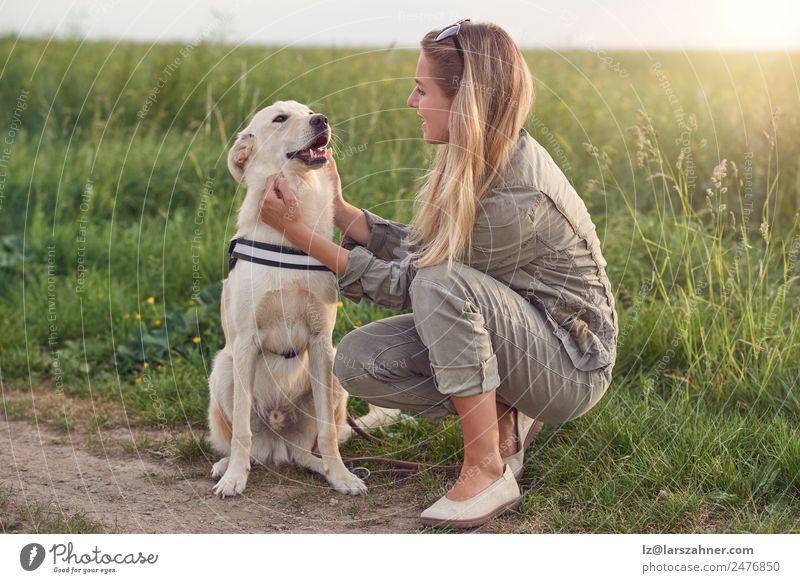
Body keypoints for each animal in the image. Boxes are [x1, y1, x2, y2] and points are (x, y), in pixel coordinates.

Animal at [209, 100, 382, 498]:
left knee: (310, 447)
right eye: (280, 118)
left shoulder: (320, 342)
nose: (322, 120)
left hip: (335, 376)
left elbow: (328, 432)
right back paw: (227, 466)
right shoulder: (245, 342)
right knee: (241, 440)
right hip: (223, 369)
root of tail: (277, 447)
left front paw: (341, 476)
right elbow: (241, 429)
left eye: (309, 110)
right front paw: (235, 478)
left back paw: (323, 467)